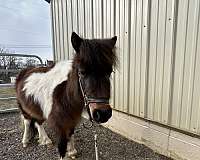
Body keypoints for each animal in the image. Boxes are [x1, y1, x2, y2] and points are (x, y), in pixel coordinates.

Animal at [15, 31, 117, 159]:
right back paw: (25, 141)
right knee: (27, 122)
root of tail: (24, 71)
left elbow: (71, 133)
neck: (65, 94)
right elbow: (62, 146)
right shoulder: (60, 124)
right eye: (82, 72)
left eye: (109, 72)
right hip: (24, 108)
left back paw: (46, 140)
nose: (103, 114)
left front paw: (72, 151)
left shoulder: (71, 118)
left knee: (38, 122)